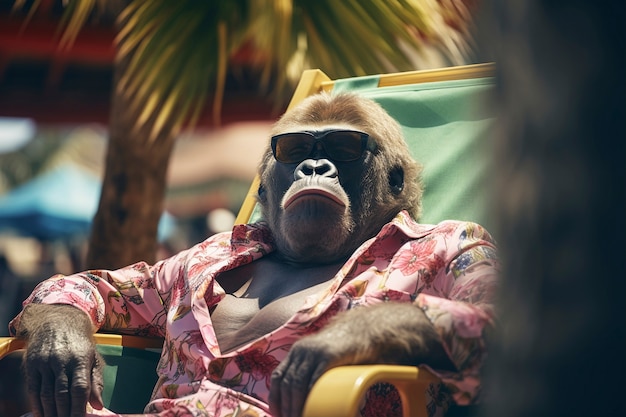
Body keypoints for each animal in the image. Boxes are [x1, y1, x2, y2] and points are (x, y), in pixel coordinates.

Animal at [9, 92, 498, 416]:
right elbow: (104, 283)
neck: (305, 258)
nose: (314, 166)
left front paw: (340, 339)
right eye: (295, 149)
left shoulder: (465, 241)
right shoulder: (181, 264)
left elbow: (481, 308)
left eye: (344, 148)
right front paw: (61, 341)